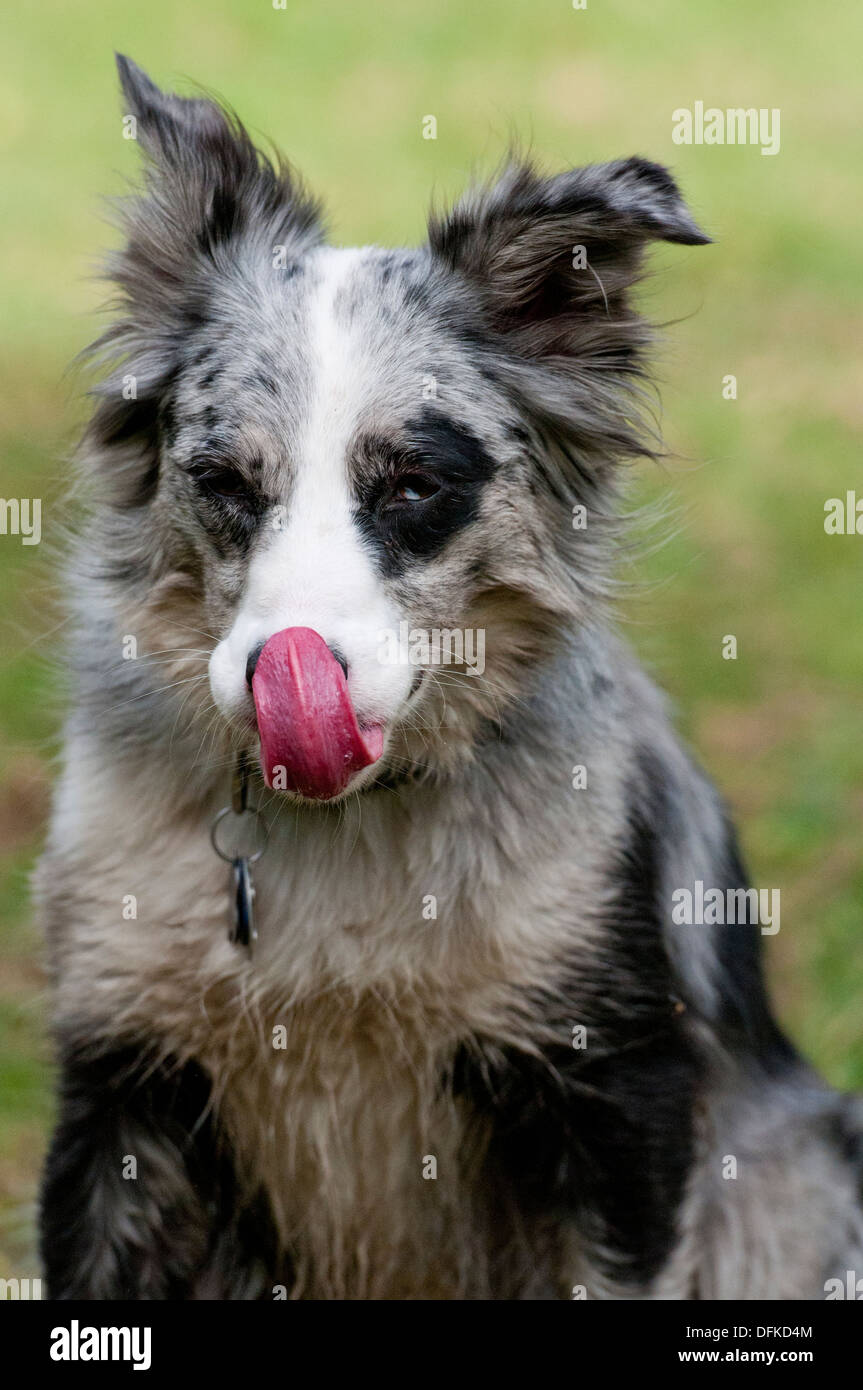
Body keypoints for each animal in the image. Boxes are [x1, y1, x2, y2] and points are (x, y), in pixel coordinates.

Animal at [35, 51, 861, 1289]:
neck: (344, 837)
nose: (287, 677)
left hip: (794, 1175)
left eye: (414, 485)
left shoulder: (612, 1094)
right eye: (223, 481)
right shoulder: (120, 1078)